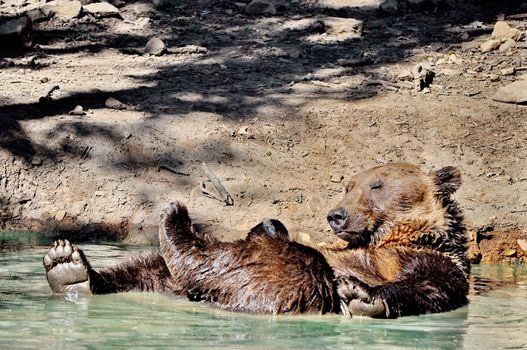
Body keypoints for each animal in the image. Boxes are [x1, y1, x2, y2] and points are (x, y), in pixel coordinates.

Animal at [42, 163, 470, 318]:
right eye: (348, 184)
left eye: (377, 185)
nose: (336, 215)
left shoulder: (424, 257)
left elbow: (428, 284)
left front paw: (364, 295)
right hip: (173, 283)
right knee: (148, 269)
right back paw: (71, 269)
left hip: (291, 283)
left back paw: (175, 220)